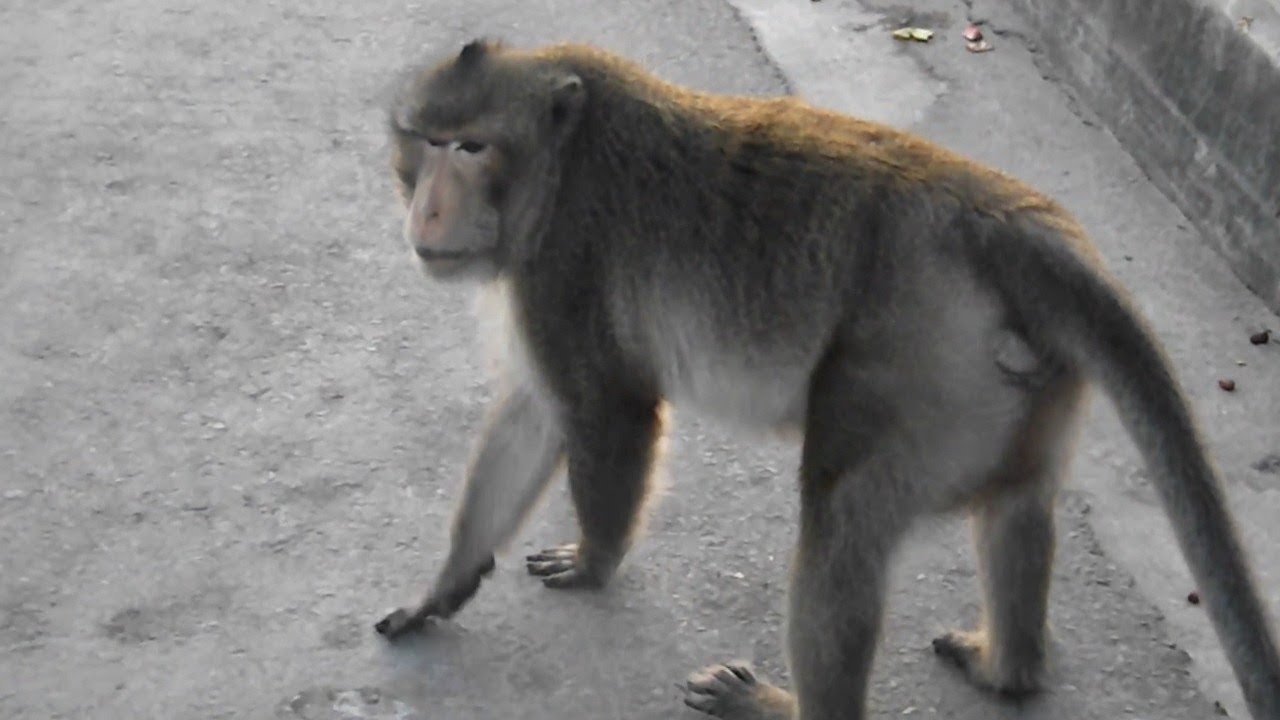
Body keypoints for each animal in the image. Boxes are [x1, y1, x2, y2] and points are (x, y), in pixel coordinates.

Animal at [371, 39, 1280, 720]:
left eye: (473, 148)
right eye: (426, 140)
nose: (428, 211)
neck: (556, 165)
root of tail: (1010, 224)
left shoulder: (563, 263)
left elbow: (604, 412)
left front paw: (596, 561)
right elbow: (533, 413)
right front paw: (445, 587)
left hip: (914, 365)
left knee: (839, 520)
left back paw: (785, 706)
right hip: (1032, 383)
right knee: (1017, 503)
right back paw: (1008, 670)